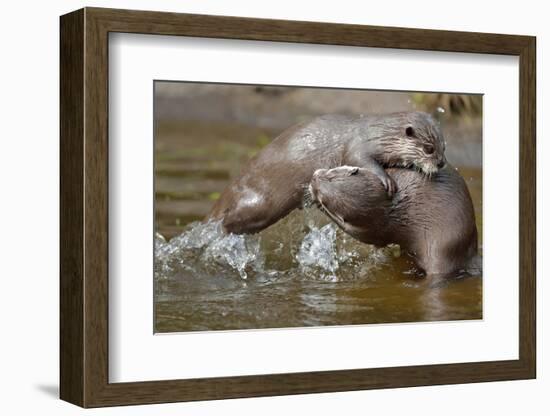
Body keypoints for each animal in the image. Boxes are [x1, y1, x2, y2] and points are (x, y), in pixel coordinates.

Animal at [208, 110, 448, 234]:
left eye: (444, 147)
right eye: (429, 149)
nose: (441, 163)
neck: (380, 135)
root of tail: (230, 190)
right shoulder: (358, 146)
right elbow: (359, 160)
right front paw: (386, 179)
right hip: (261, 202)